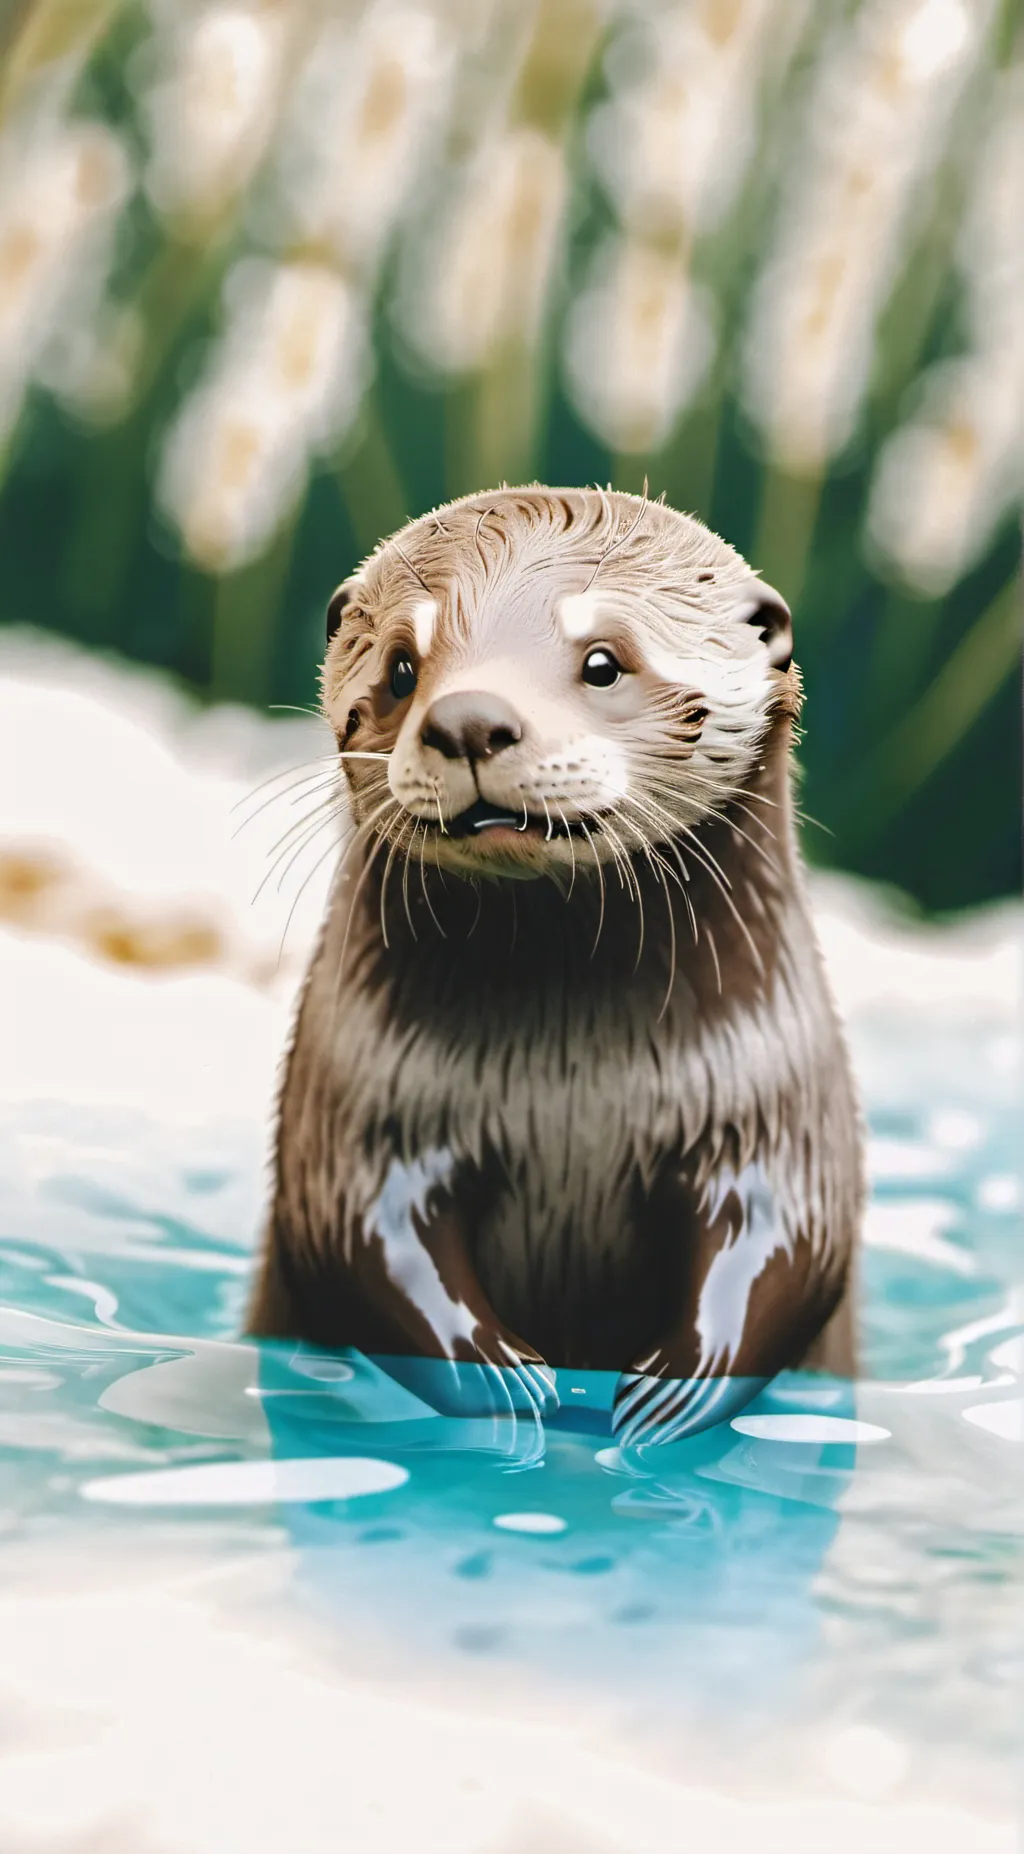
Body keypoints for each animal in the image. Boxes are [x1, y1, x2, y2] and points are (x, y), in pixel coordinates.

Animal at [248, 487, 862, 1445]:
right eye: (401, 667)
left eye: (604, 661)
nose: (467, 719)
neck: (574, 1086)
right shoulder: (360, 1100)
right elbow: (356, 1232)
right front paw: (503, 1379)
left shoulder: (771, 1100)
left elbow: (792, 1236)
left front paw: (666, 1395)